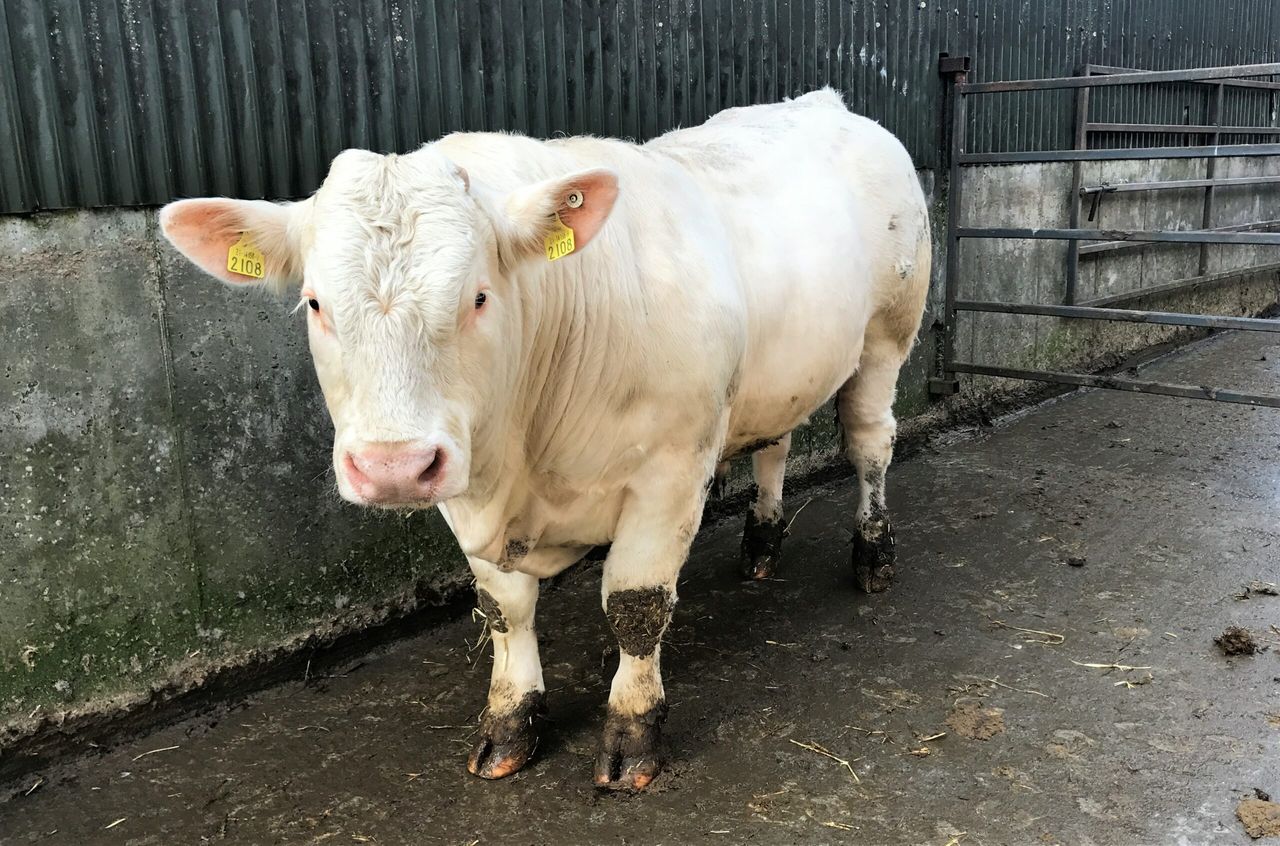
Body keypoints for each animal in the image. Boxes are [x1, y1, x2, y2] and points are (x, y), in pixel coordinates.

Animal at [159, 89, 931, 791]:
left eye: (478, 296)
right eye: (315, 302)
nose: (393, 467)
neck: (525, 450)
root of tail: (824, 102)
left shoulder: (671, 471)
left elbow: (635, 606)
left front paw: (632, 733)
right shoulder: (465, 476)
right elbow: (505, 608)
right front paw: (509, 721)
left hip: (887, 336)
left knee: (869, 445)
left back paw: (873, 554)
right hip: (782, 374)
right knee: (775, 444)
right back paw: (762, 544)